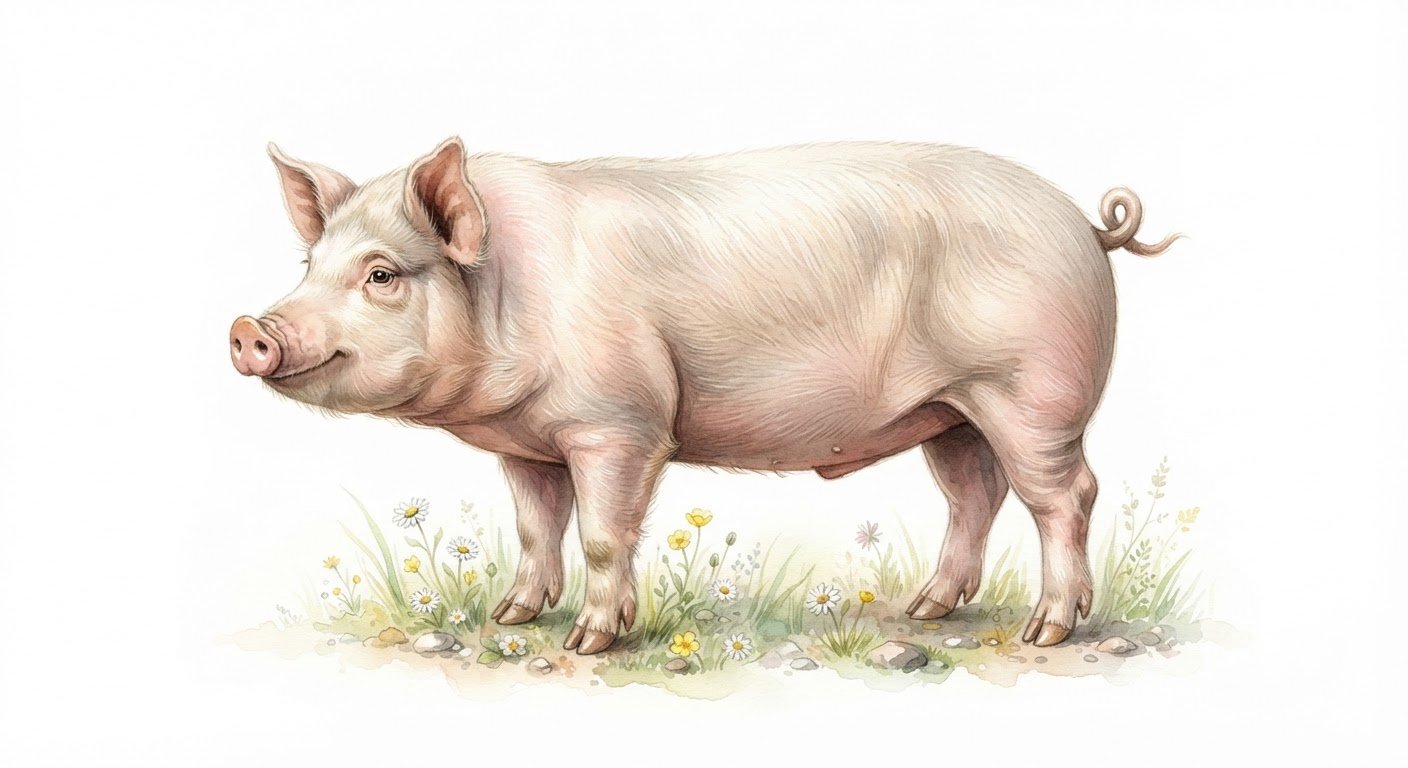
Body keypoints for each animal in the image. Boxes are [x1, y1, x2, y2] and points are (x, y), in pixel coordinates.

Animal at [231, 138, 1178, 654]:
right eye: (309, 264)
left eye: (382, 274)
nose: (250, 328)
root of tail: (1084, 226)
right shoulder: (529, 445)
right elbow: (536, 528)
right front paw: (511, 616)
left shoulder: (620, 424)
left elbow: (603, 534)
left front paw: (590, 642)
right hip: (951, 412)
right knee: (975, 495)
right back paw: (925, 608)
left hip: (1031, 393)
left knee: (1066, 495)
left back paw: (1046, 631)